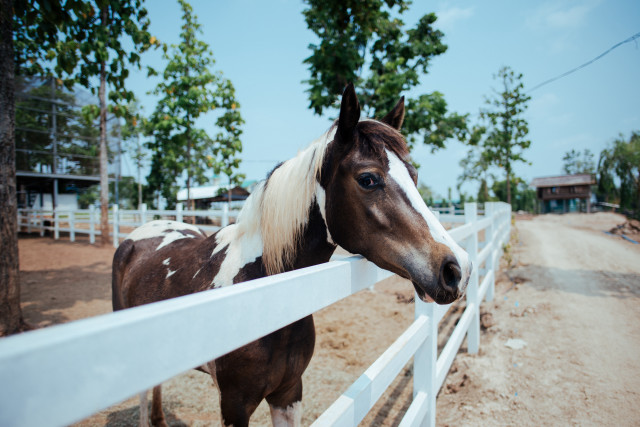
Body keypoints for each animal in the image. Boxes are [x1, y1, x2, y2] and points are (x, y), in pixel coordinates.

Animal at [112, 83, 472, 427]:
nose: (458, 269)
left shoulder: (288, 393)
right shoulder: (234, 404)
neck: (265, 291)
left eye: (414, 176)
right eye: (368, 179)